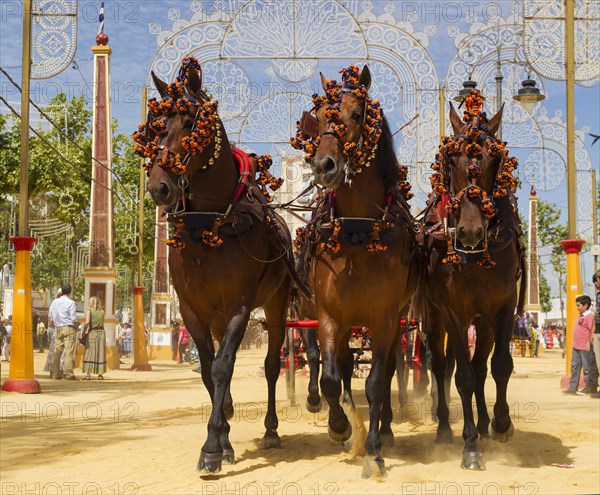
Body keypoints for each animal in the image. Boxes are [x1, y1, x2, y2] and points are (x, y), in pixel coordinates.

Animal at [134, 56, 298, 474]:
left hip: (275, 306)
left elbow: (224, 366)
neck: (210, 222)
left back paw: (271, 430)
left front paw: (210, 447)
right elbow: (209, 370)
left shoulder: (240, 304)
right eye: (156, 126)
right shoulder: (192, 310)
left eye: (191, 122)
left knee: (271, 364)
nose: (159, 187)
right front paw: (221, 437)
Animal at [290, 65, 418, 476]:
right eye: (319, 117)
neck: (358, 231)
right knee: (340, 366)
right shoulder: (330, 316)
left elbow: (377, 382)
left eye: (358, 115)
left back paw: (386, 428)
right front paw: (340, 426)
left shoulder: (386, 318)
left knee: (391, 368)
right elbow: (331, 377)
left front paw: (374, 447)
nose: (324, 166)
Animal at [422, 91, 524, 470]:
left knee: (482, 366)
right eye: (451, 161)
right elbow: (462, 377)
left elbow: (500, 365)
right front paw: (470, 447)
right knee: (441, 366)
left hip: (483, 321)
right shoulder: (452, 312)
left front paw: (501, 423)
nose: (468, 232)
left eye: (495, 161)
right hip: (434, 318)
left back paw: (484, 423)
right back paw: (445, 428)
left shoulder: (503, 307)